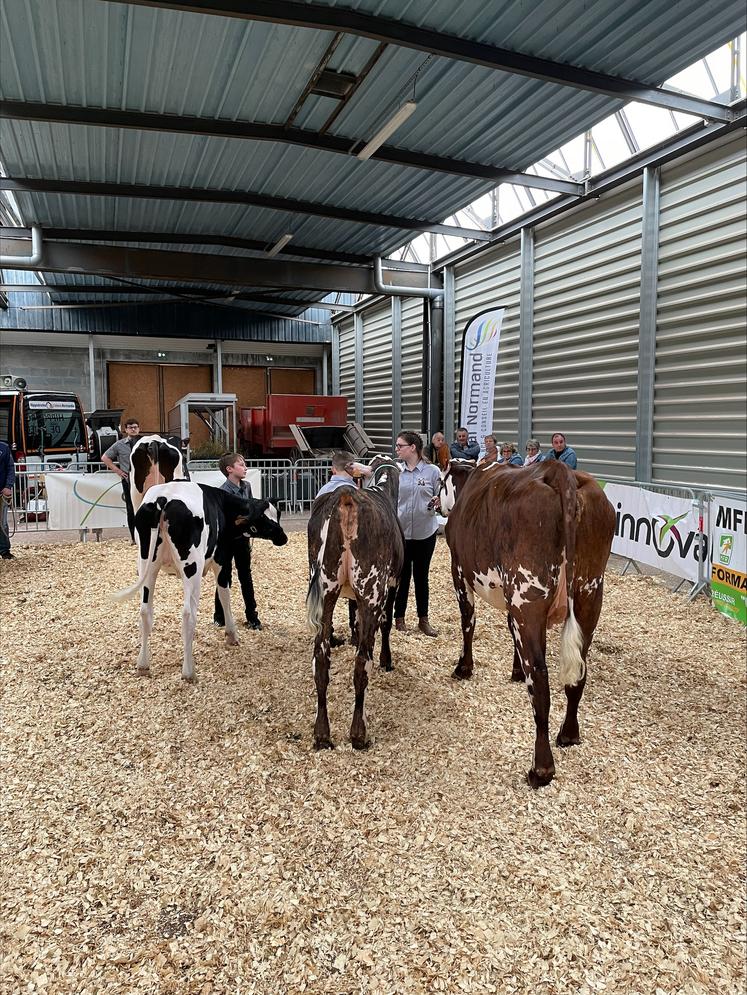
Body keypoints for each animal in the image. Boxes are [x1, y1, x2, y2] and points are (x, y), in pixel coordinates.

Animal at [115, 480, 288, 680]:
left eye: (278, 513)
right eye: (264, 520)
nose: (283, 537)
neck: (223, 505)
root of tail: (163, 498)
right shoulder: (222, 559)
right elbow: (224, 595)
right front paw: (231, 634)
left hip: (147, 564)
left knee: (145, 612)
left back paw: (143, 665)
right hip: (192, 568)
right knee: (188, 614)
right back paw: (189, 671)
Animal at [304, 462, 404, 752]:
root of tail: (345, 496)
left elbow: (354, 618)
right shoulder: (391, 583)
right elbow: (386, 623)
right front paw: (386, 660)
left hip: (325, 590)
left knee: (320, 659)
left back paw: (322, 734)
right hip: (372, 588)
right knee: (362, 662)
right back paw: (359, 734)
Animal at [438, 462, 612, 792]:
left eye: (440, 483)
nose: (432, 503)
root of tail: (559, 472)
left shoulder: (459, 571)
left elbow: (468, 622)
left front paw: (464, 667)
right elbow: (508, 628)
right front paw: (515, 671)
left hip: (527, 595)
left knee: (540, 678)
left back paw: (540, 769)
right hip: (589, 594)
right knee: (578, 673)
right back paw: (568, 734)